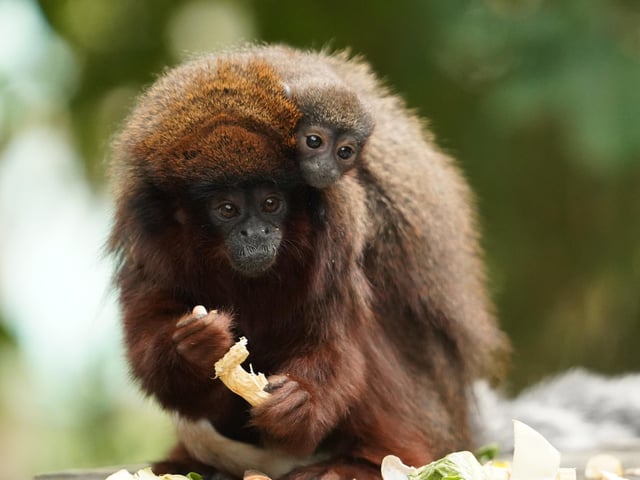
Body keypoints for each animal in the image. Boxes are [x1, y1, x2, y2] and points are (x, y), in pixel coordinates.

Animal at [109, 46, 509, 480]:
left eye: (271, 203)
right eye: (228, 210)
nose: (256, 233)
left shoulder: (339, 225)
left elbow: (336, 341)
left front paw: (299, 404)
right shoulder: (148, 237)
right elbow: (150, 341)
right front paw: (194, 344)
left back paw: (369, 461)